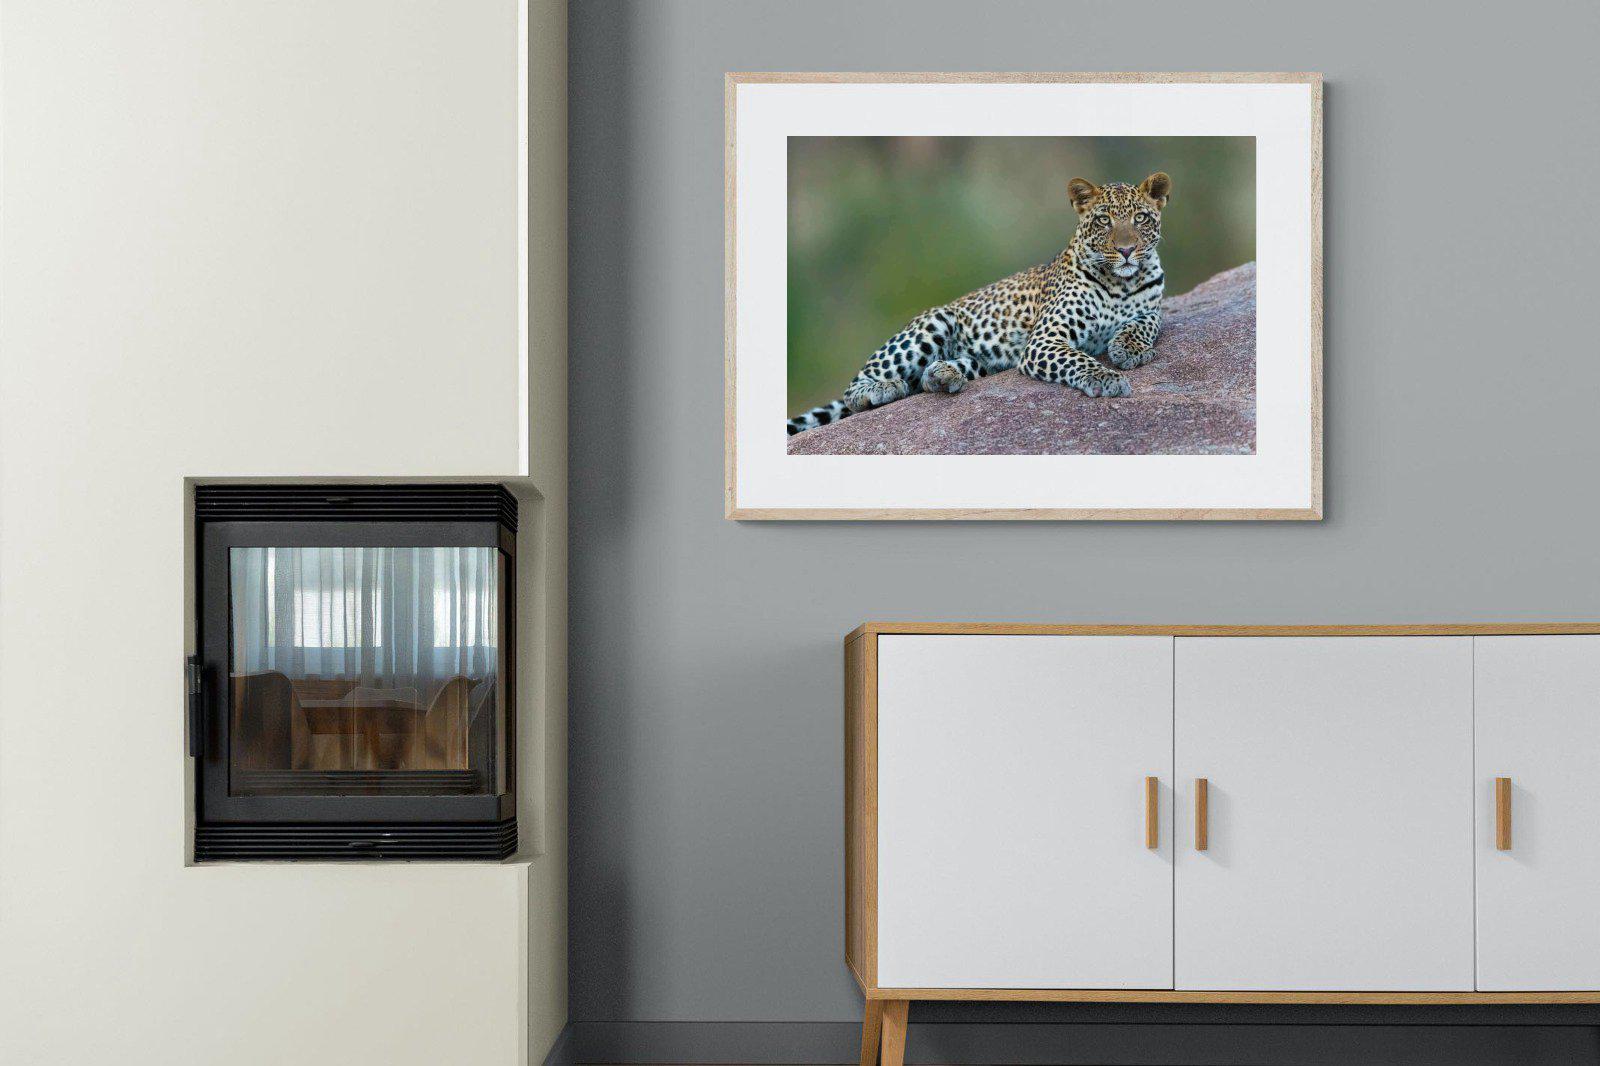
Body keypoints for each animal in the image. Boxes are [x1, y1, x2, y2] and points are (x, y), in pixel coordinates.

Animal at [787, 172, 1171, 435]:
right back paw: (884, 388)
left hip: (981, 361)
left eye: (1140, 218)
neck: (1121, 282)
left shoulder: (1152, 308)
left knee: (930, 377)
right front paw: (1107, 377)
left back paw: (943, 376)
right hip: (932, 323)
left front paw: (1128, 348)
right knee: (856, 388)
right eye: (1104, 220)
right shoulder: (1045, 340)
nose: (1126, 250)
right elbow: (1078, 358)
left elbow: (1146, 323)